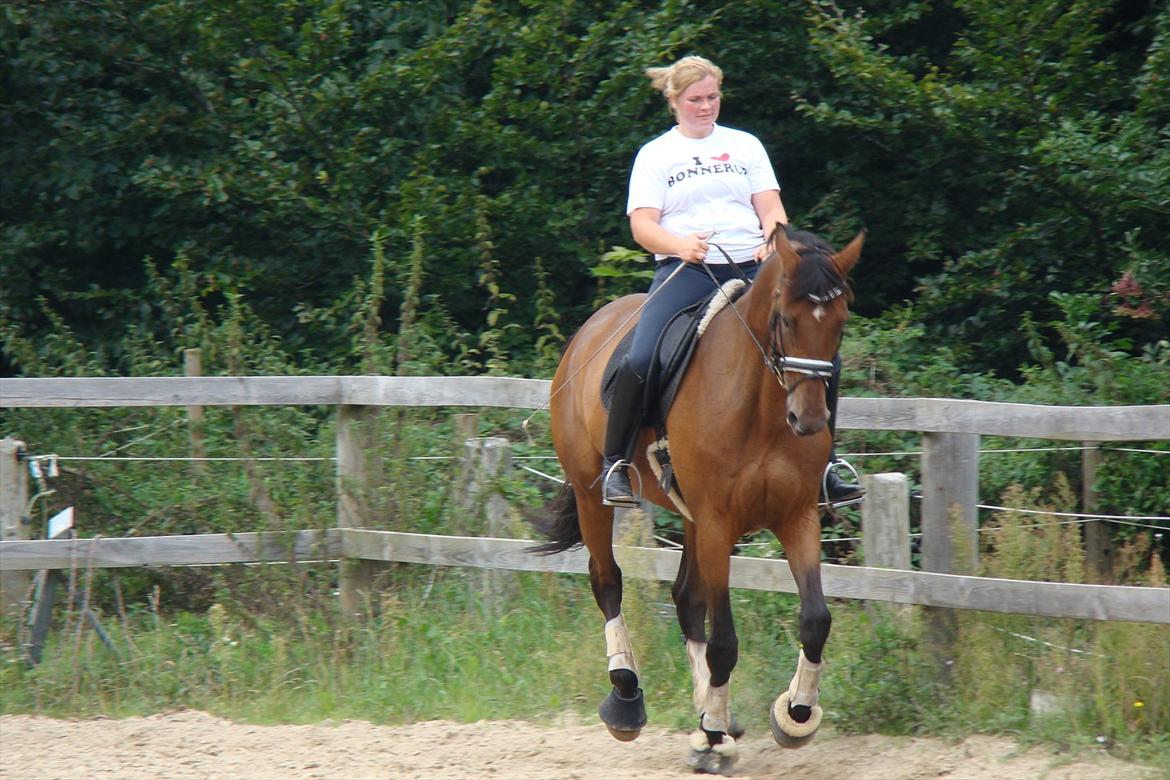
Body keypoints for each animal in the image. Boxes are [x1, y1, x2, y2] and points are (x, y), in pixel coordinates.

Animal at [535, 225, 861, 776]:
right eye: (784, 319)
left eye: (839, 323)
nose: (810, 420)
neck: (760, 407)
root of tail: (591, 329)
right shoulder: (716, 523)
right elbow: (725, 641)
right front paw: (712, 736)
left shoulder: (796, 517)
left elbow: (816, 620)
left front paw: (795, 715)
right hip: (591, 494)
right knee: (607, 582)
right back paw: (628, 699)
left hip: (686, 514)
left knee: (686, 599)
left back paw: (714, 718)